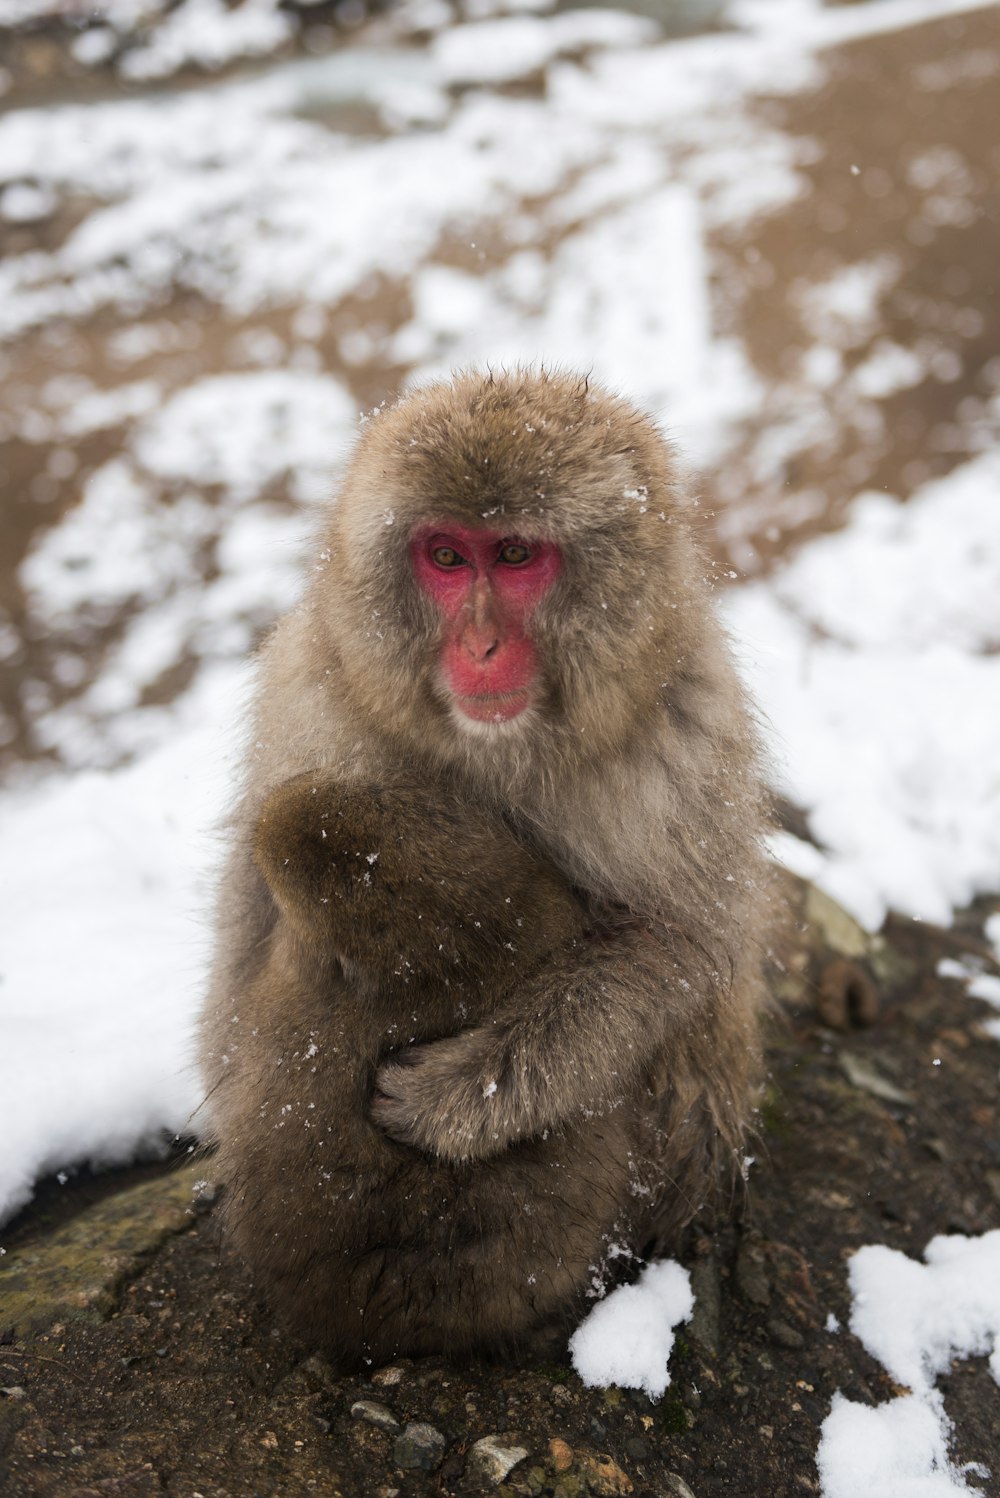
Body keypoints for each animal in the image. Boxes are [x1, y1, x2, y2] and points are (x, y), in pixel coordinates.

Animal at [199, 365, 772, 1372]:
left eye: (513, 556)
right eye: (445, 557)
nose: (481, 647)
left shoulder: (690, 726)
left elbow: (685, 944)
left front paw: (461, 1097)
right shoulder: (311, 692)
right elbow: (249, 927)